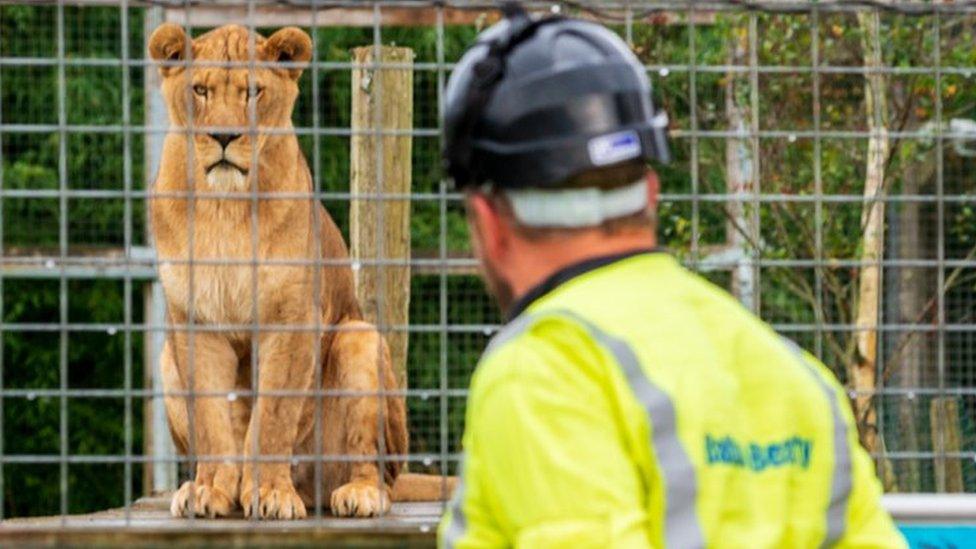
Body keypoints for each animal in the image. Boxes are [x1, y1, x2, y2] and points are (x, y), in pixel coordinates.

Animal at [147, 21, 448, 520]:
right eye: (200, 90)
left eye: (253, 92)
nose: (224, 136)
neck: (224, 206)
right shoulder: (195, 323)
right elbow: (211, 419)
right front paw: (210, 489)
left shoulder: (291, 319)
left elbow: (272, 417)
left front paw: (270, 493)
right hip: (166, 359)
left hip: (359, 338)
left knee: (376, 472)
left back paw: (358, 493)